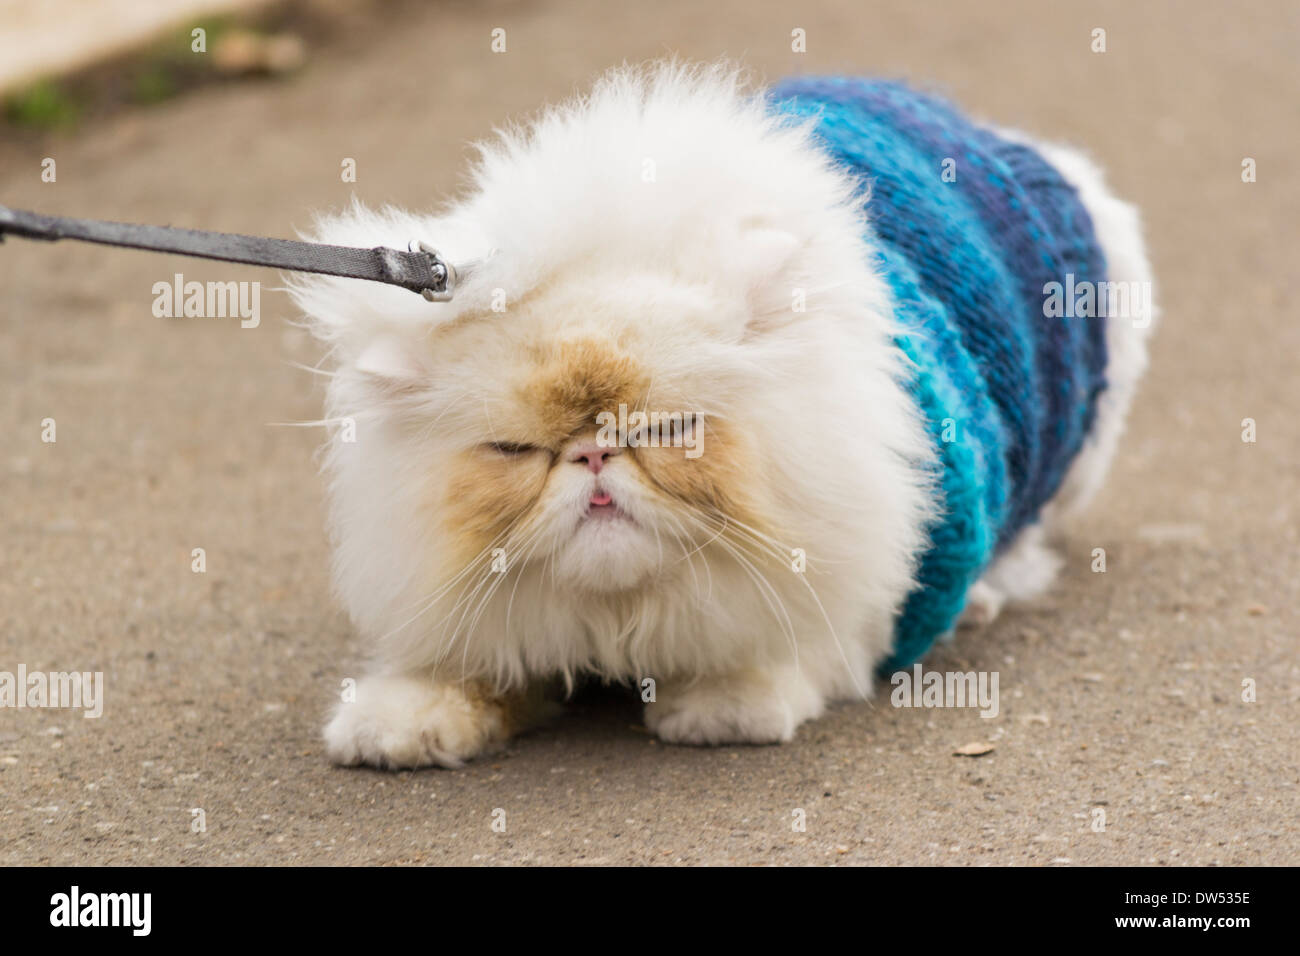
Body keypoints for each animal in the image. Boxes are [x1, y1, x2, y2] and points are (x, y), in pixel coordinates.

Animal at [289, 61, 1154, 770]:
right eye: (516, 450)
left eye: (667, 431)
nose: (593, 455)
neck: (621, 616)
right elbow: (456, 672)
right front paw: (393, 727)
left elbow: (789, 648)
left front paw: (719, 709)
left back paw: (977, 598)